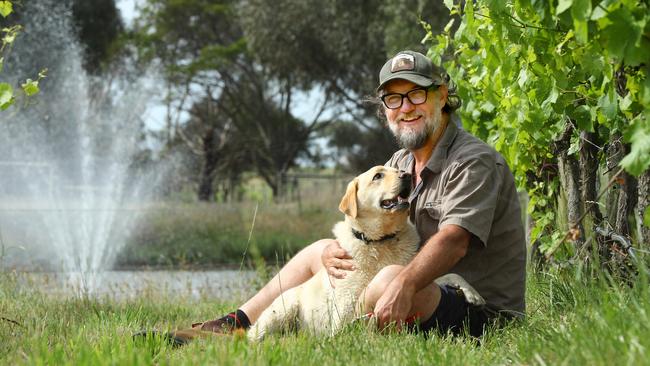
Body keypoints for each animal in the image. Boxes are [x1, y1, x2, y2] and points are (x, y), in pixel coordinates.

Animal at [247, 166, 480, 340]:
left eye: (398, 169)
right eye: (378, 176)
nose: (407, 175)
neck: (380, 241)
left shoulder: (412, 270)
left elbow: (449, 274)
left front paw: (473, 293)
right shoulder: (346, 305)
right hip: (280, 313)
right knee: (254, 335)